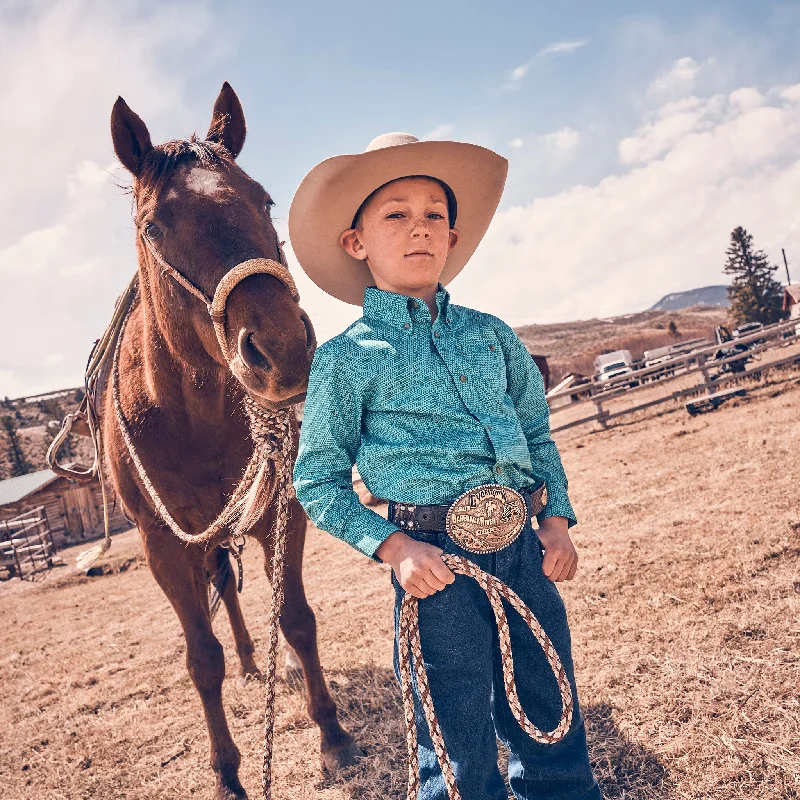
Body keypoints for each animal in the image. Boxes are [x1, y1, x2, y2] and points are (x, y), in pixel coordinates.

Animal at [102, 84, 356, 796]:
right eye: (153, 227)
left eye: (264, 200)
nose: (282, 349)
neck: (195, 418)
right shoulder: (162, 546)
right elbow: (201, 659)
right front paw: (228, 773)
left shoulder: (282, 507)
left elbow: (295, 619)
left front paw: (331, 735)